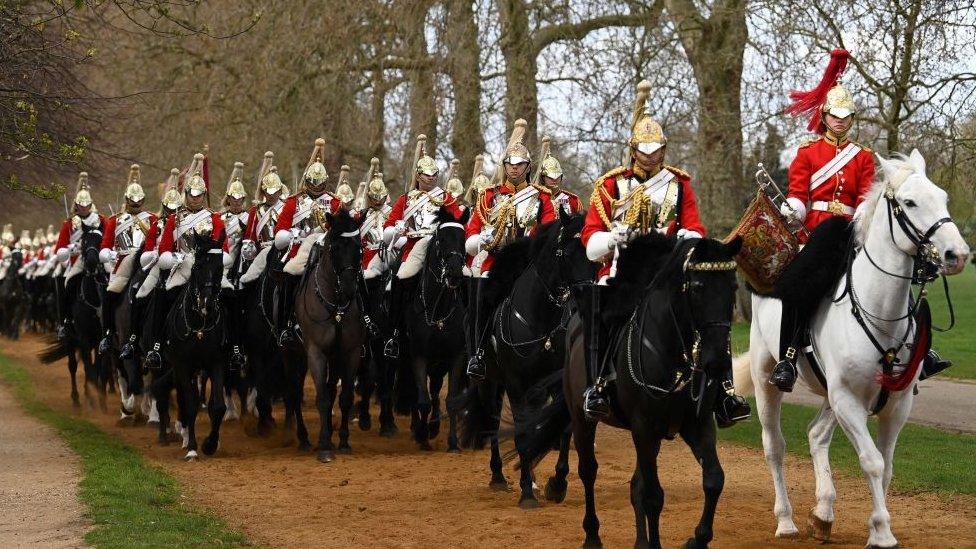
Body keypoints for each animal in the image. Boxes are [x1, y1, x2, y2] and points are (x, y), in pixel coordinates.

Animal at [294, 210, 370, 462]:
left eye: (359, 247)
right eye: (335, 247)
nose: (349, 289)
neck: (335, 306)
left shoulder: (350, 352)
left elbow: (344, 397)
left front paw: (343, 441)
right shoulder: (316, 352)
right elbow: (323, 398)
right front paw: (325, 445)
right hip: (293, 357)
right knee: (294, 392)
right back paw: (304, 437)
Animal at [396, 206, 472, 450]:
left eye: (463, 239)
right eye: (440, 239)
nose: (455, 273)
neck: (438, 310)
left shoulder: (456, 356)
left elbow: (451, 400)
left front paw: (453, 442)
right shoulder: (418, 355)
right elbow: (422, 400)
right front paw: (422, 436)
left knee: (437, 390)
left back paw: (434, 426)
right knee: (416, 392)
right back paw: (417, 429)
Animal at [520, 233, 740, 544]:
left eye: (733, 286)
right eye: (697, 288)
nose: (717, 361)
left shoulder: (697, 424)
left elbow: (713, 480)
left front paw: (697, 539)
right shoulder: (644, 427)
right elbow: (653, 496)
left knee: (636, 482)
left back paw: (638, 540)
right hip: (583, 418)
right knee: (588, 470)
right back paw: (591, 534)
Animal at [740, 148, 968, 544]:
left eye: (943, 197)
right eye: (909, 202)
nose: (958, 254)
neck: (880, 312)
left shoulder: (896, 404)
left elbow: (886, 465)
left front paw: (876, 525)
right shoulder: (847, 400)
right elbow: (872, 461)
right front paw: (882, 531)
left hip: (831, 395)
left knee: (816, 435)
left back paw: (823, 512)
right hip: (767, 376)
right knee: (775, 447)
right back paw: (786, 520)